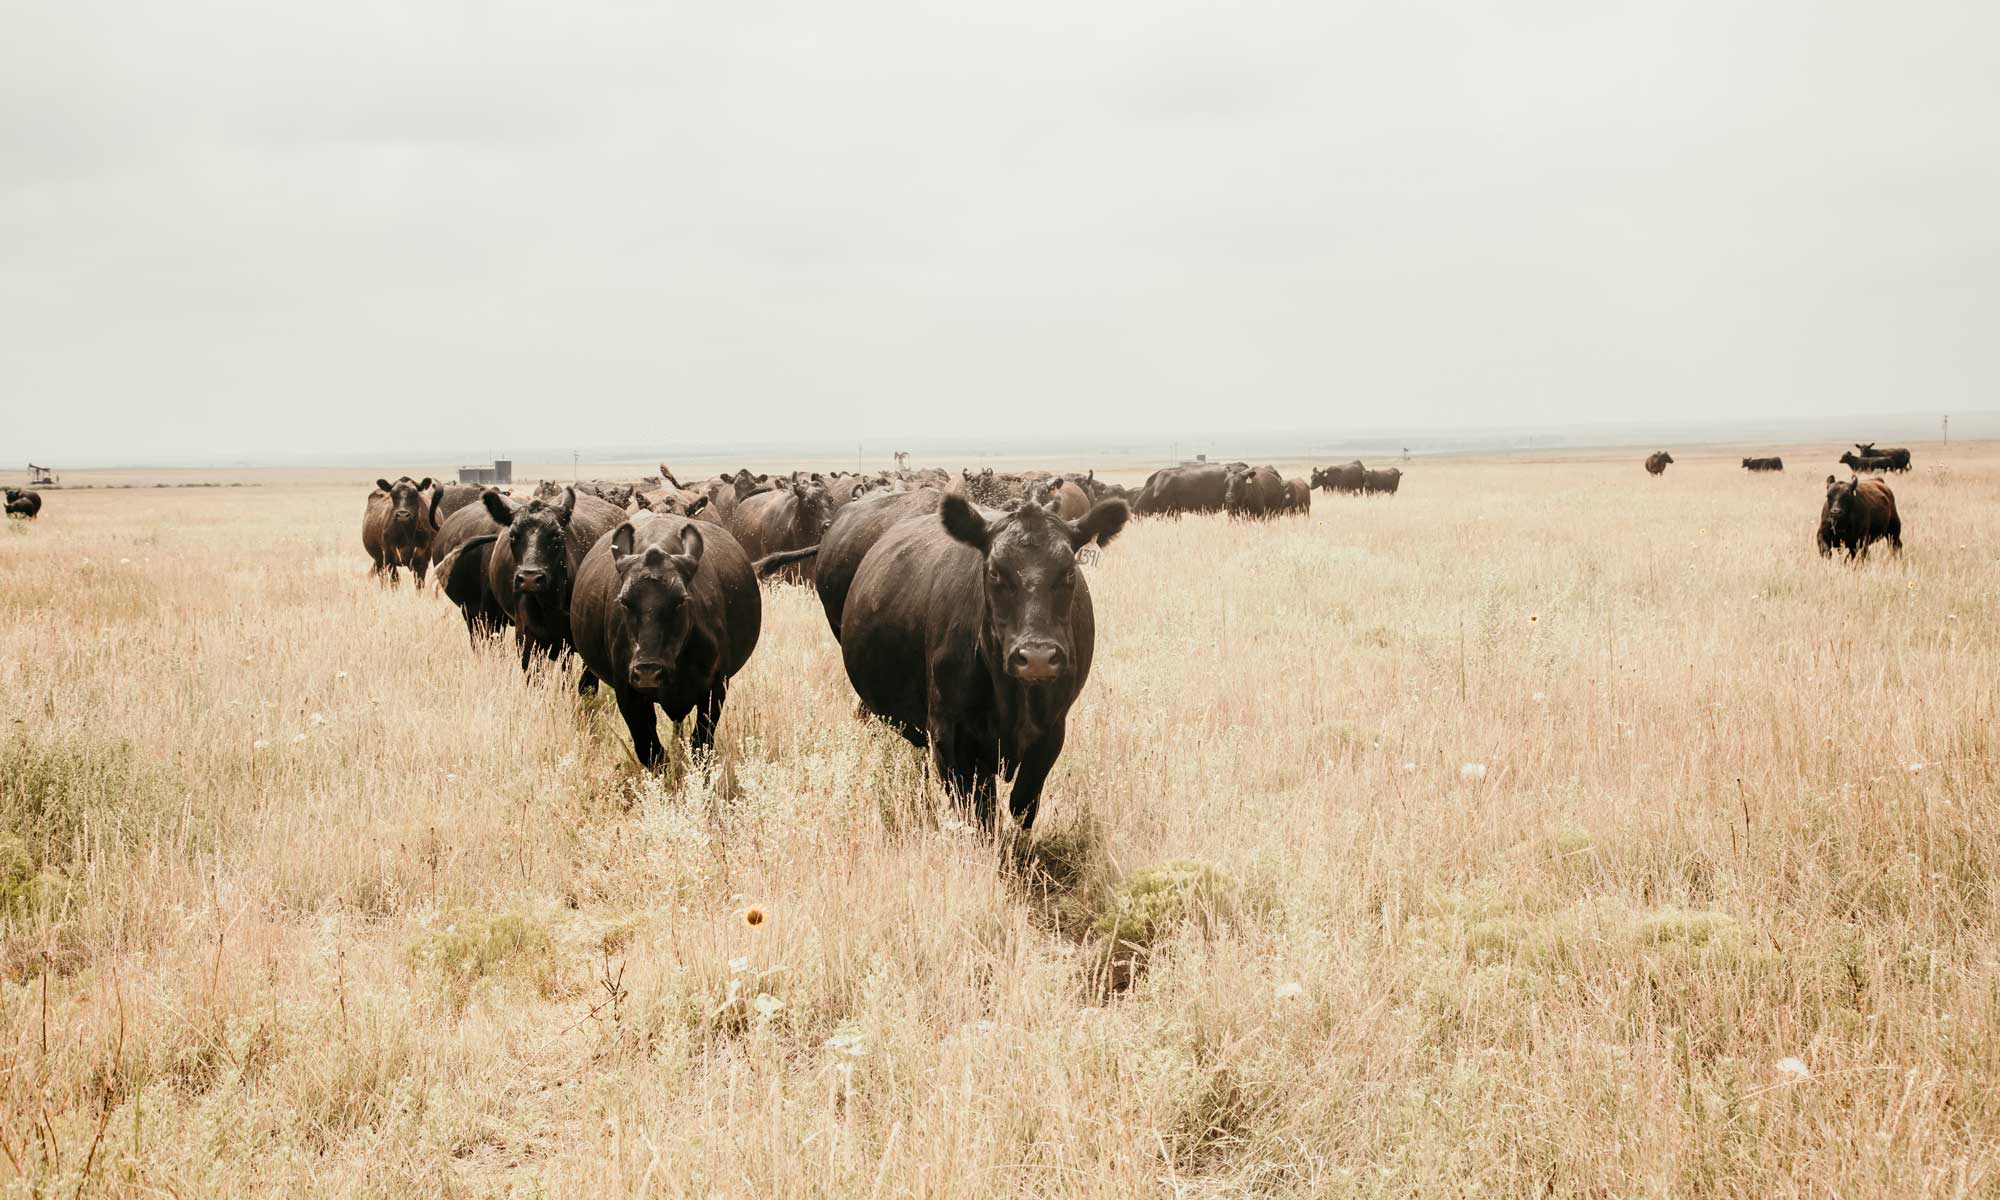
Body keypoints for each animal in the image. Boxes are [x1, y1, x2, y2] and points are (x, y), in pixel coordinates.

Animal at [568, 510, 760, 764]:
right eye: (625, 601)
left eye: (680, 600)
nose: (648, 671)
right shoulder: (628, 692)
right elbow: (649, 750)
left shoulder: (715, 688)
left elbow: (700, 744)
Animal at [836, 492, 1136, 828]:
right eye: (994, 571)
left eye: (1069, 571)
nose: (1037, 657)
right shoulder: (950, 735)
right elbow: (979, 813)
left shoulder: (1051, 731)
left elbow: (1023, 805)